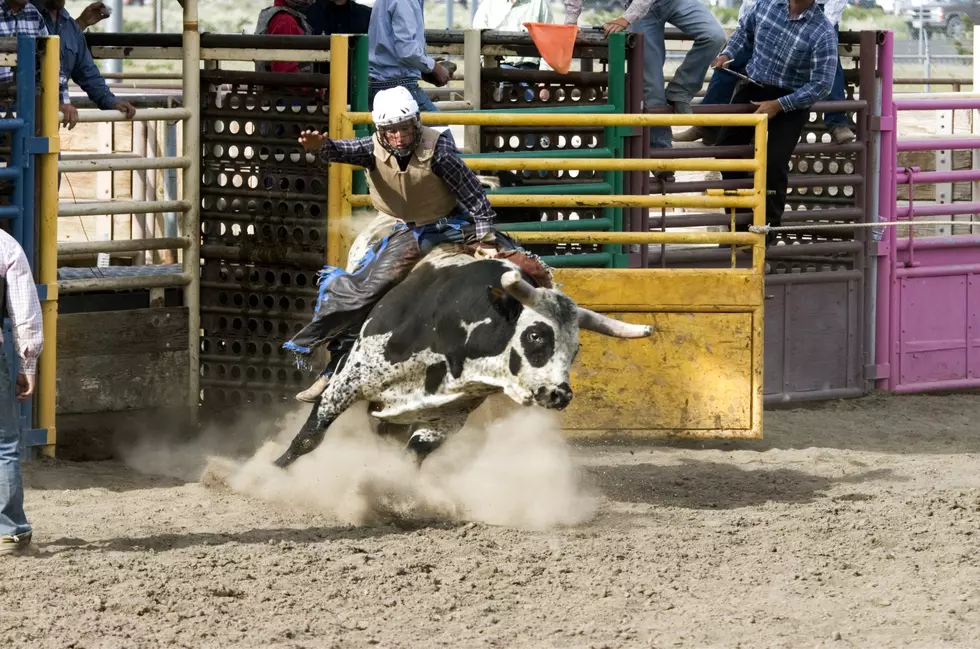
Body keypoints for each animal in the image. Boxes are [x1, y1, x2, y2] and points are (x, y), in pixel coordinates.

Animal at [272, 251, 656, 468]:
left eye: (575, 349)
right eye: (536, 335)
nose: (559, 394)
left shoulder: (448, 416)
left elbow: (411, 456)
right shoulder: (350, 381)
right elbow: (309, 437)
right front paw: (271, 474)